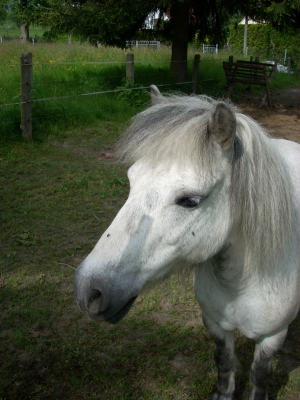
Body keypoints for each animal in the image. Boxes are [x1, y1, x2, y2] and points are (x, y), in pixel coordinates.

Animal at [73, 86, 300, 398]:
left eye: (190, 200)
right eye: (132, 182)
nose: (89, 291)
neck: (244, 283)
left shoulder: (272, 337)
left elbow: (259, 375)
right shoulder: (215, 324)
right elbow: (224, 363)